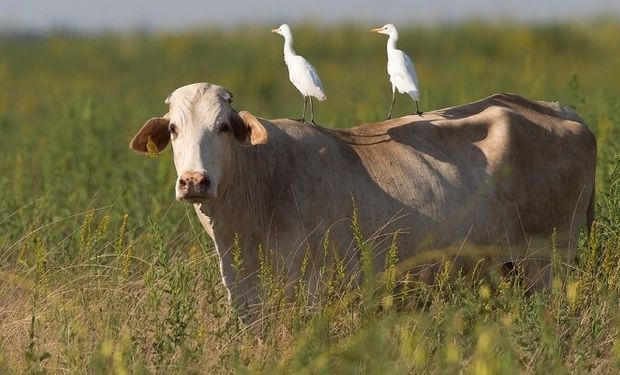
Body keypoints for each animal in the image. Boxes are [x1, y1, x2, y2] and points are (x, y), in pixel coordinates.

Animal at [130, 83, 596, 324]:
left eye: (223, 127)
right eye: (173, 129)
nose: (194, 181)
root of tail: (556, 108)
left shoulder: (314, 288)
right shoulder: (246, 296)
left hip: (550, 261)